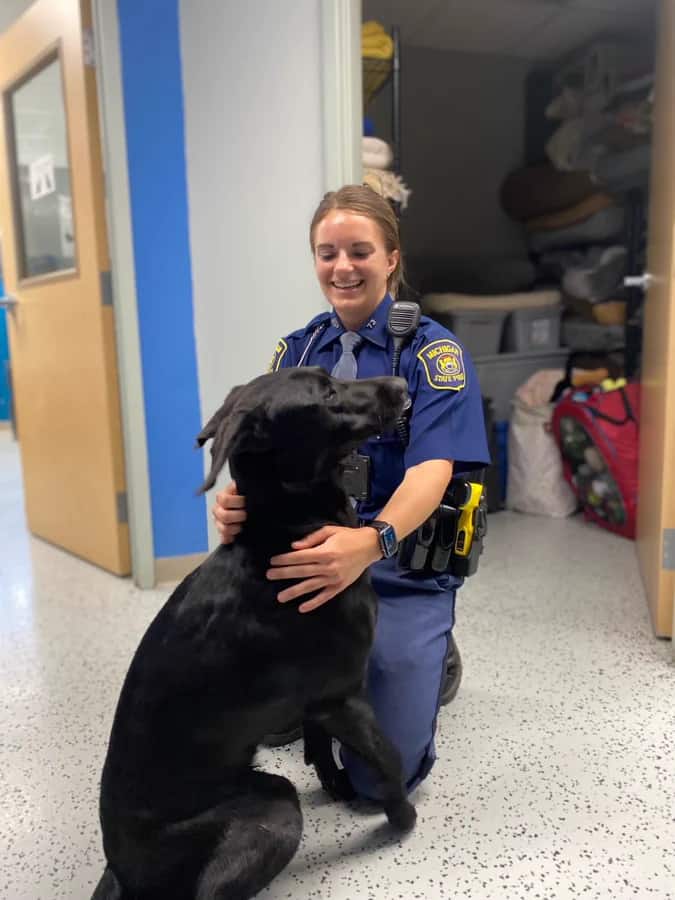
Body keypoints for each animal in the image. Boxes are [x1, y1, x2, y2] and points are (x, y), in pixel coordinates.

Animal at [92, 366, 414, 900]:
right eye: (329, 393)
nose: (402, 385)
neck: (285, 528)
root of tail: (121, 871)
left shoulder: (318, 702)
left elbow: (319, 743)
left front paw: (333, 781)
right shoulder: (343, 697)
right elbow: (390, 760)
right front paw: (403, 819)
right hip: (274, 809)